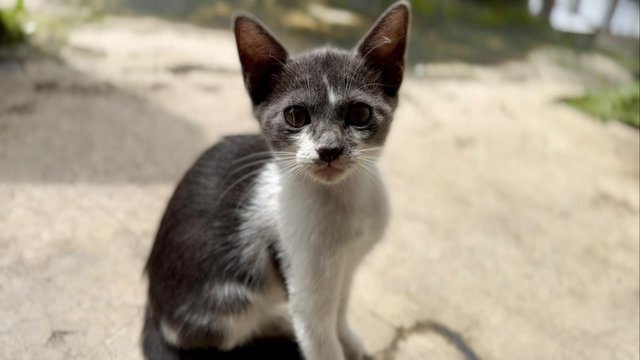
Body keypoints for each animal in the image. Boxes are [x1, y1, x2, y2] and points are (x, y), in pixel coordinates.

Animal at [141, 2, 410, 360]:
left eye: (359, 114)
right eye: (295, 116)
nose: (329, 149)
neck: (342, 198)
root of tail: (153, 307)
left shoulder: (349, 263)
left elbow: (340, 306)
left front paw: (348, 339)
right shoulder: (299, 266)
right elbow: (318, 334)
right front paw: (330, 341)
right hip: (231, 303)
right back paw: (277, 325)